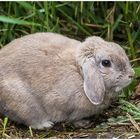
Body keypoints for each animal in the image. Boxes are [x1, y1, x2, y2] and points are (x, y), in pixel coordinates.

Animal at [0, 32, 135, 129]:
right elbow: (71, 118)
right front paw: (82, 123)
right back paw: (46, 124)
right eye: (106, 63)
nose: (131, 75)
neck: (80, 74)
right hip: (24, 104)